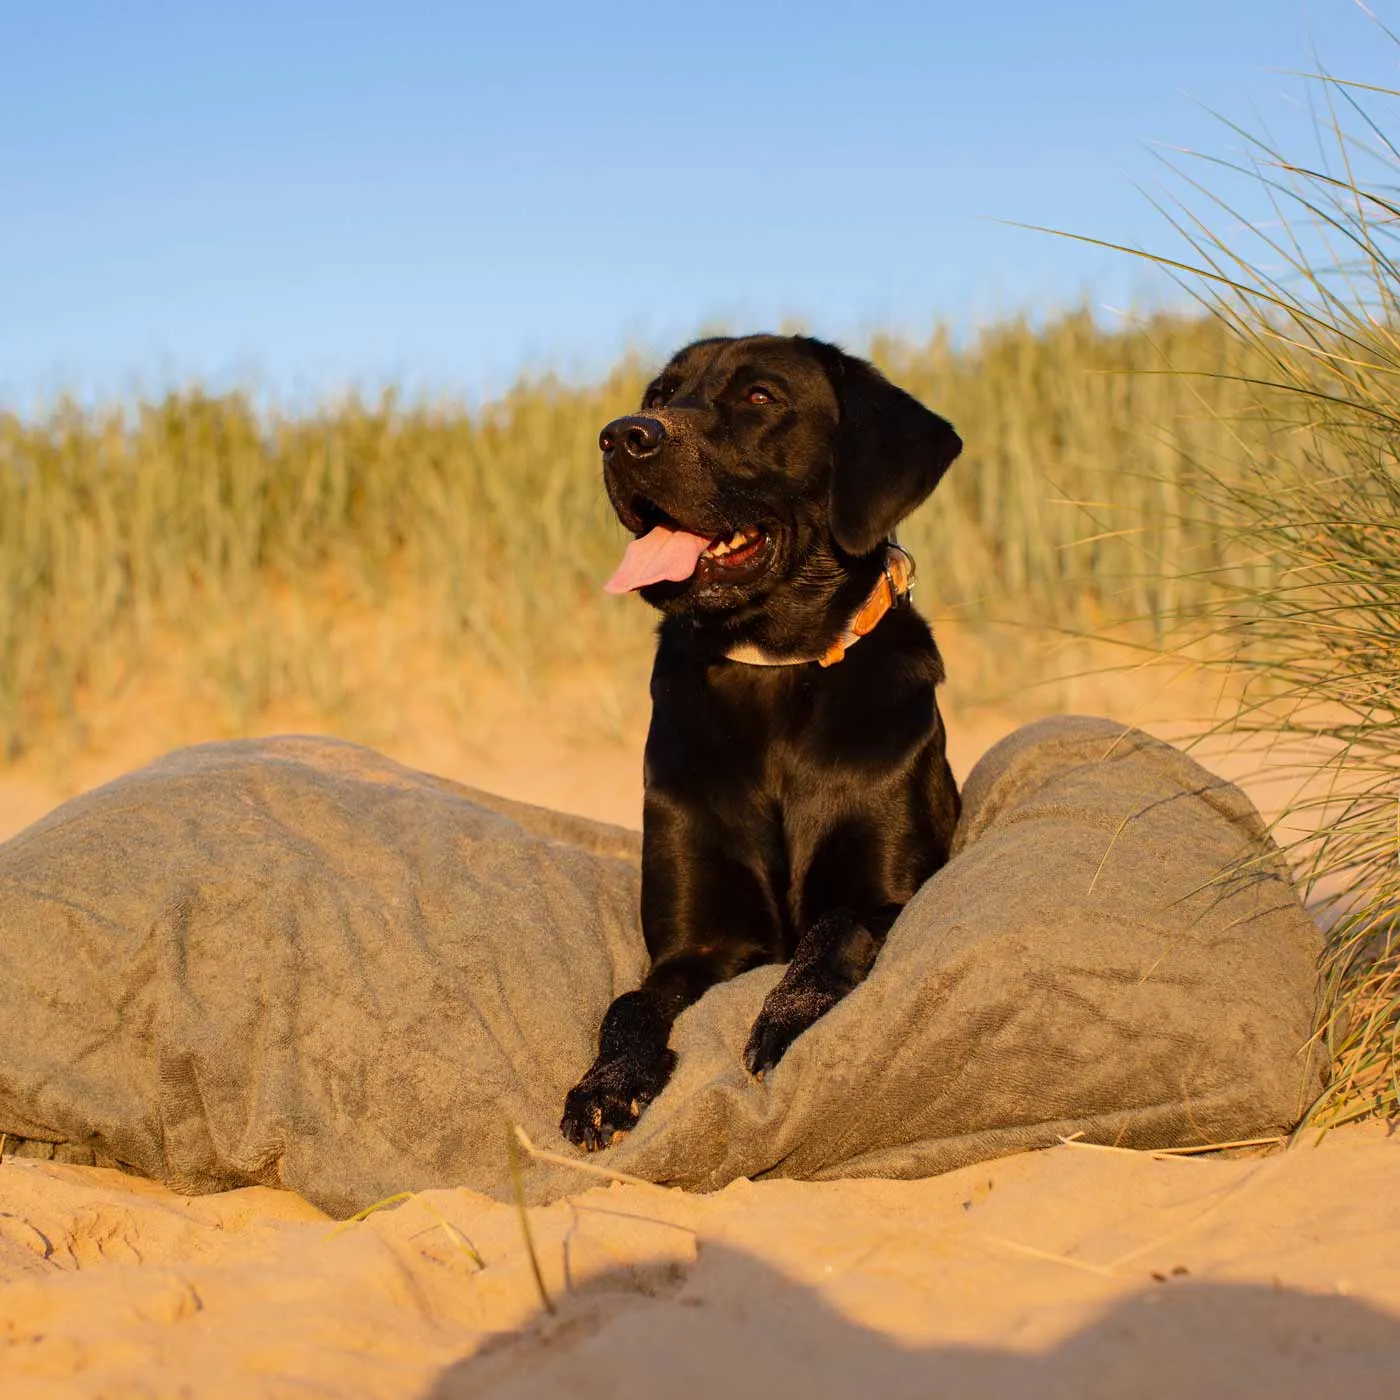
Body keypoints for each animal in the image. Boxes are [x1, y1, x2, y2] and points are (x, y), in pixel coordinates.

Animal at [560, 336, 963, 1148]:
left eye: (759, 398)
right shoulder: (696, 947)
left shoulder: (888, 896)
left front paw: (784, 1021)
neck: (771, 672)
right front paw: (606, 1084)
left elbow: (833, 929)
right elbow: (629, 1004)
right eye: (660, 394)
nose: (622, 436)